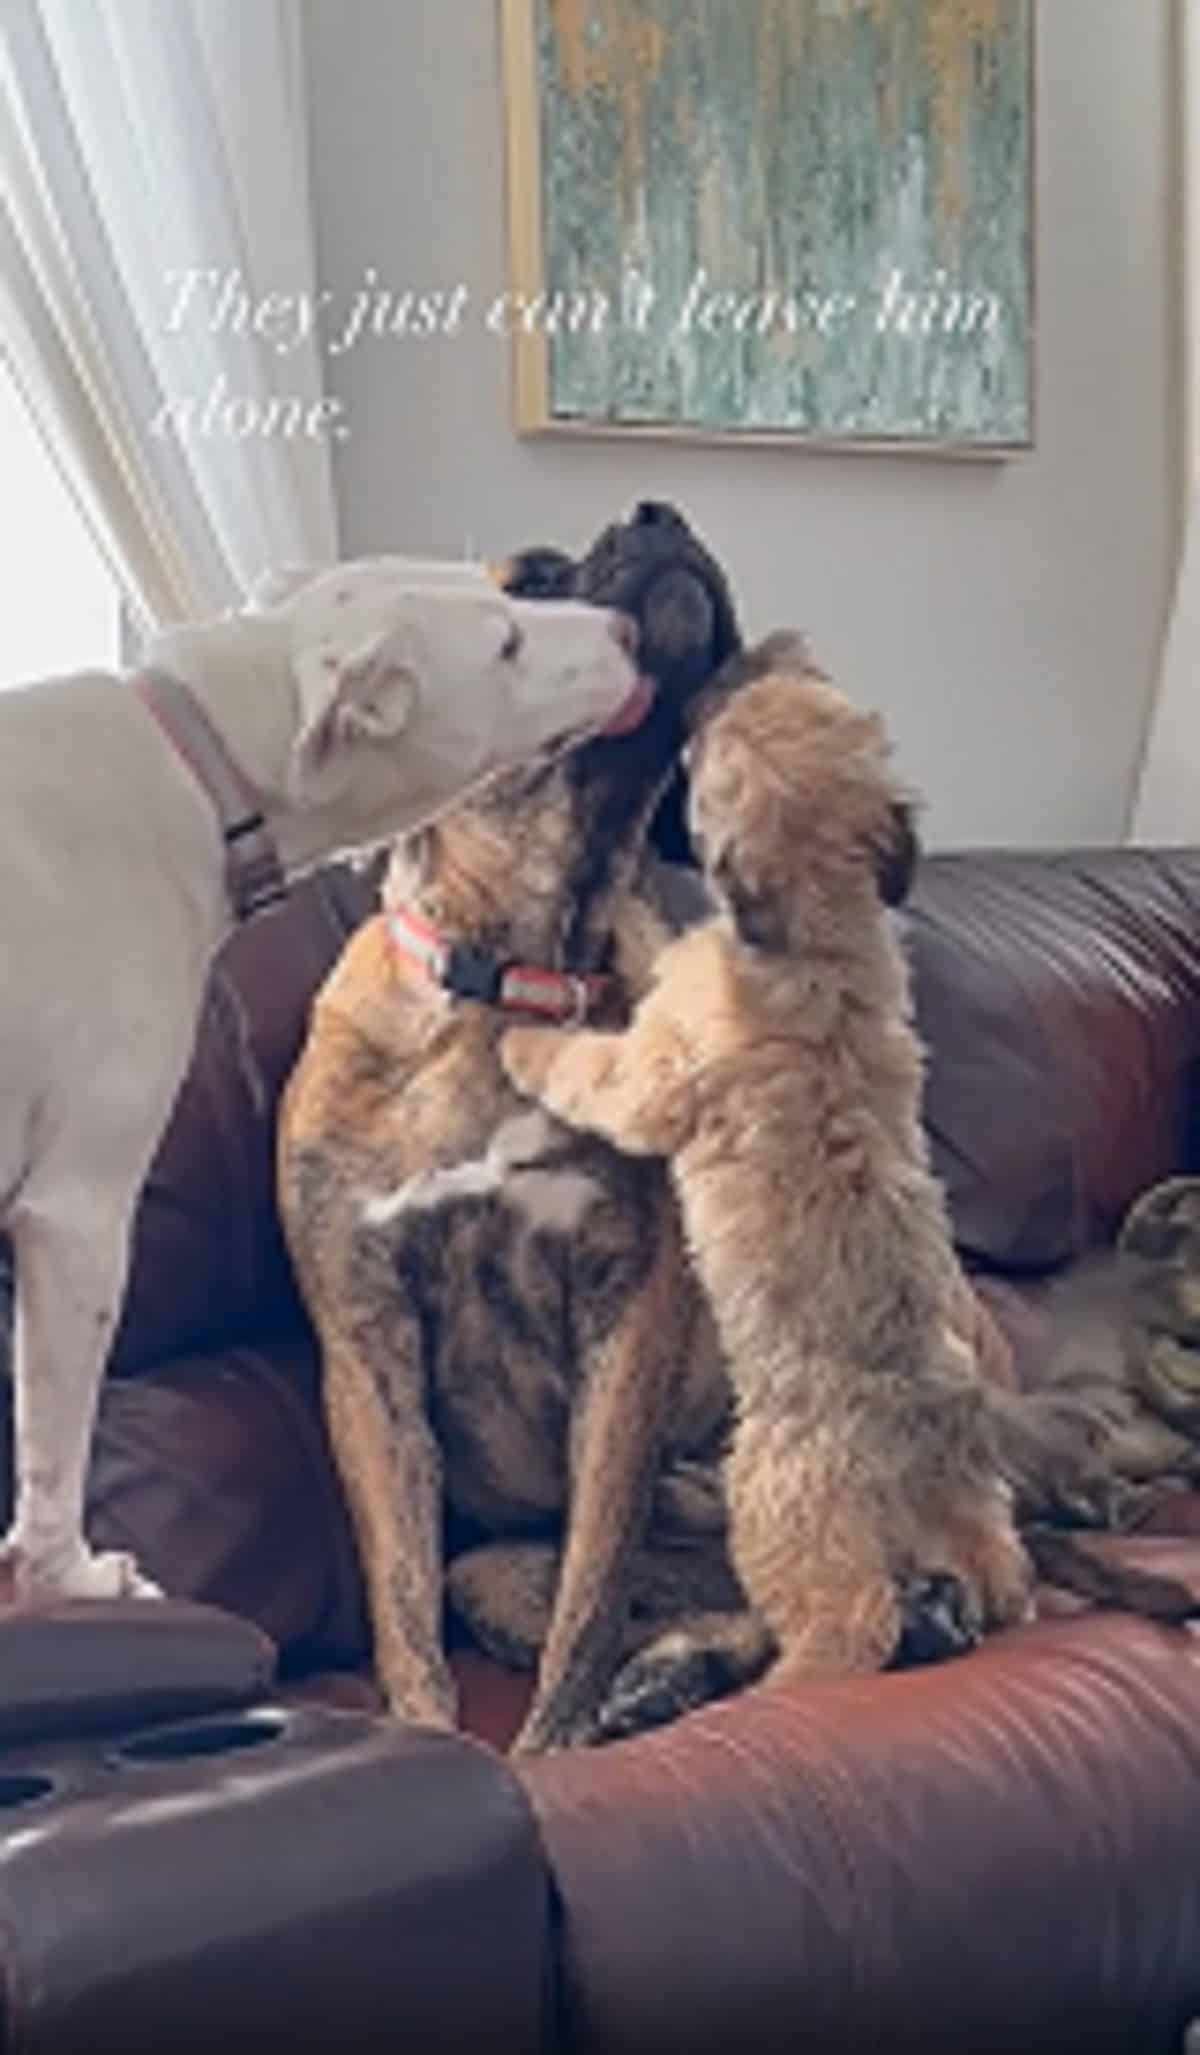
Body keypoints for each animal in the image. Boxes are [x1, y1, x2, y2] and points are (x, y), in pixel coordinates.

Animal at [0, 558, 645, 1602]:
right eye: (505, 642)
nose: (627, 630)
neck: (204, 762)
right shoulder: (78, 1216)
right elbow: (56, 1449)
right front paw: (73, 1576)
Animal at [281, 501, 743, 1750]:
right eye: (533, 580)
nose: (662, 511)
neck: (519, 974)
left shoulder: (628, 1314)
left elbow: (592, 1582)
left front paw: (554, 1747)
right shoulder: (369, 1340)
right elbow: (402, 1594)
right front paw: (434, 1738)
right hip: (491, 1571)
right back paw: (671, 1679)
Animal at [501, 657, 1035, 1685]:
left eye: (709, 750)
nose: (715, 681)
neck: (824, 933)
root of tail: (926, 1438)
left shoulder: (655, 1071)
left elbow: (601, 1052)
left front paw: (529, 1033)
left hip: (778, 1504)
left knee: (851, 1623)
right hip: (979, 1512)